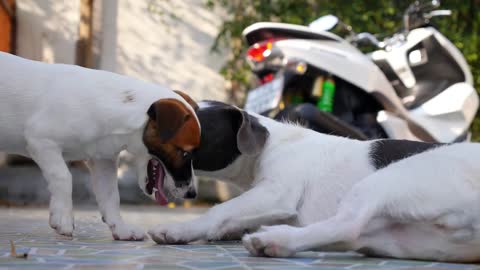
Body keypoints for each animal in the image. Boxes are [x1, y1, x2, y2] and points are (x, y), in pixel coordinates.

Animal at [0, 52, 200, 240]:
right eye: (185, 154)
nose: (192, 194)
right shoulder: (42, 141)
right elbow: (64, 177)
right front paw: (63, 217)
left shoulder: (103, 160)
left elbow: (111, 196)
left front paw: (120, 228)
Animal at [148, 100, 480, 262]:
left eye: (194, 133)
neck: (270, 143)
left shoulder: (275, 193)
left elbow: (219, 210)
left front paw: (179, 230)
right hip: (400, 239)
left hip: (386, 181)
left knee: (348, 225)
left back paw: (273, 239)